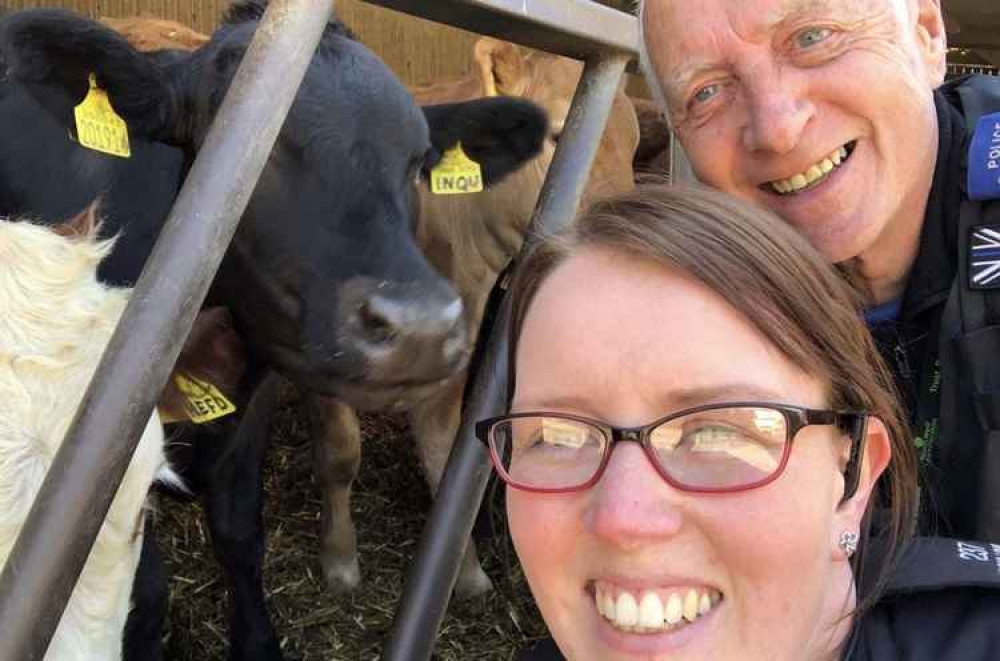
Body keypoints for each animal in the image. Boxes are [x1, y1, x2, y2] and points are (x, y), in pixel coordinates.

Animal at [0, 2, 548, 656]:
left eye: (419, 162)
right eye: (247, 154)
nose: (418, 328)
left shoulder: (254, 390)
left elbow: (240, 531)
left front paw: (258, 641)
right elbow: (143, 583)